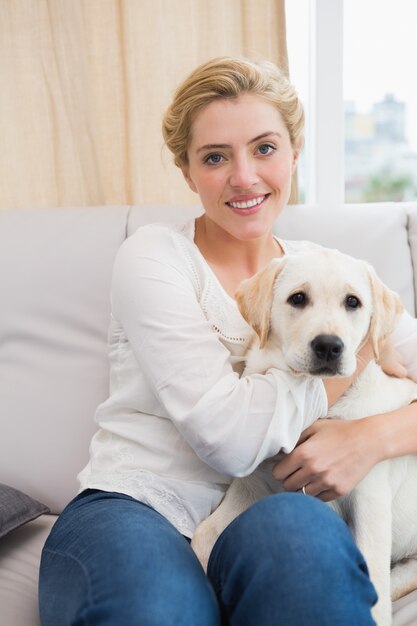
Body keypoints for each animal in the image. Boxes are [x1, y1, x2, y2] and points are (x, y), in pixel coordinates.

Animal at [191, 246, 416, 624]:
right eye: (297, 298)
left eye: (353, 302)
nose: (329, 346)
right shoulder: (254, 485)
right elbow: (204, 535)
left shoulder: (369, 498)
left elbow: (374, 584)